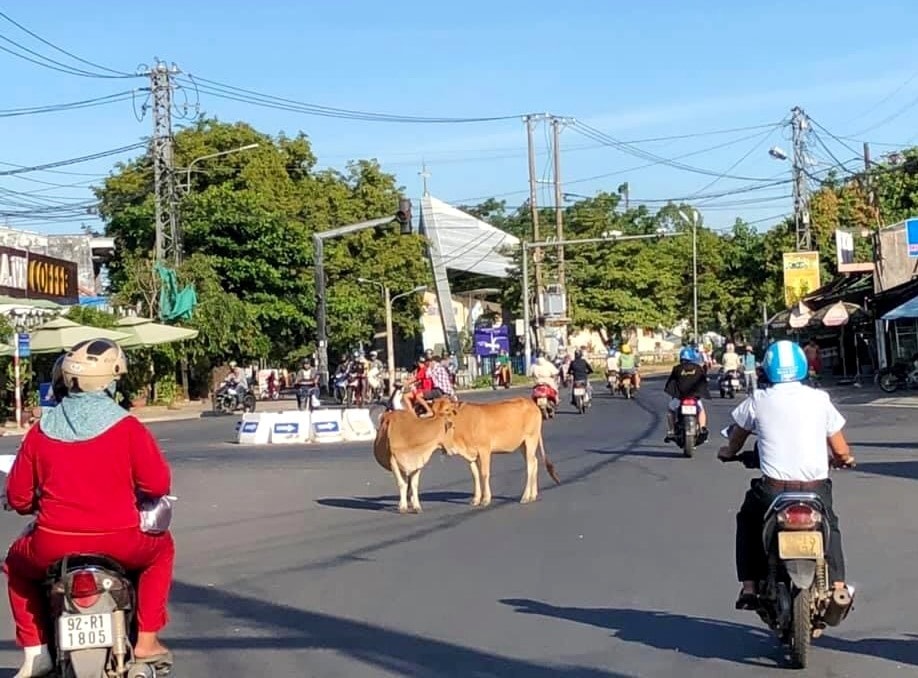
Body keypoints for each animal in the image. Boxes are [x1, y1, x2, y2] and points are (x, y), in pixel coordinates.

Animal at [432, 396, 560, 508]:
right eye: (433, 411)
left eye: (447, 410)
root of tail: (531, 403)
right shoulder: (470, 455)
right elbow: (475, 475)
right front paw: (476, 499)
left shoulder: (484, 450)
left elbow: (484, 474)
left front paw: (486, 499)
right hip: (523, 445)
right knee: (535, 462)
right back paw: (533, 495)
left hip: (531, 439)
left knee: (530, 466)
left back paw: (525, 496)